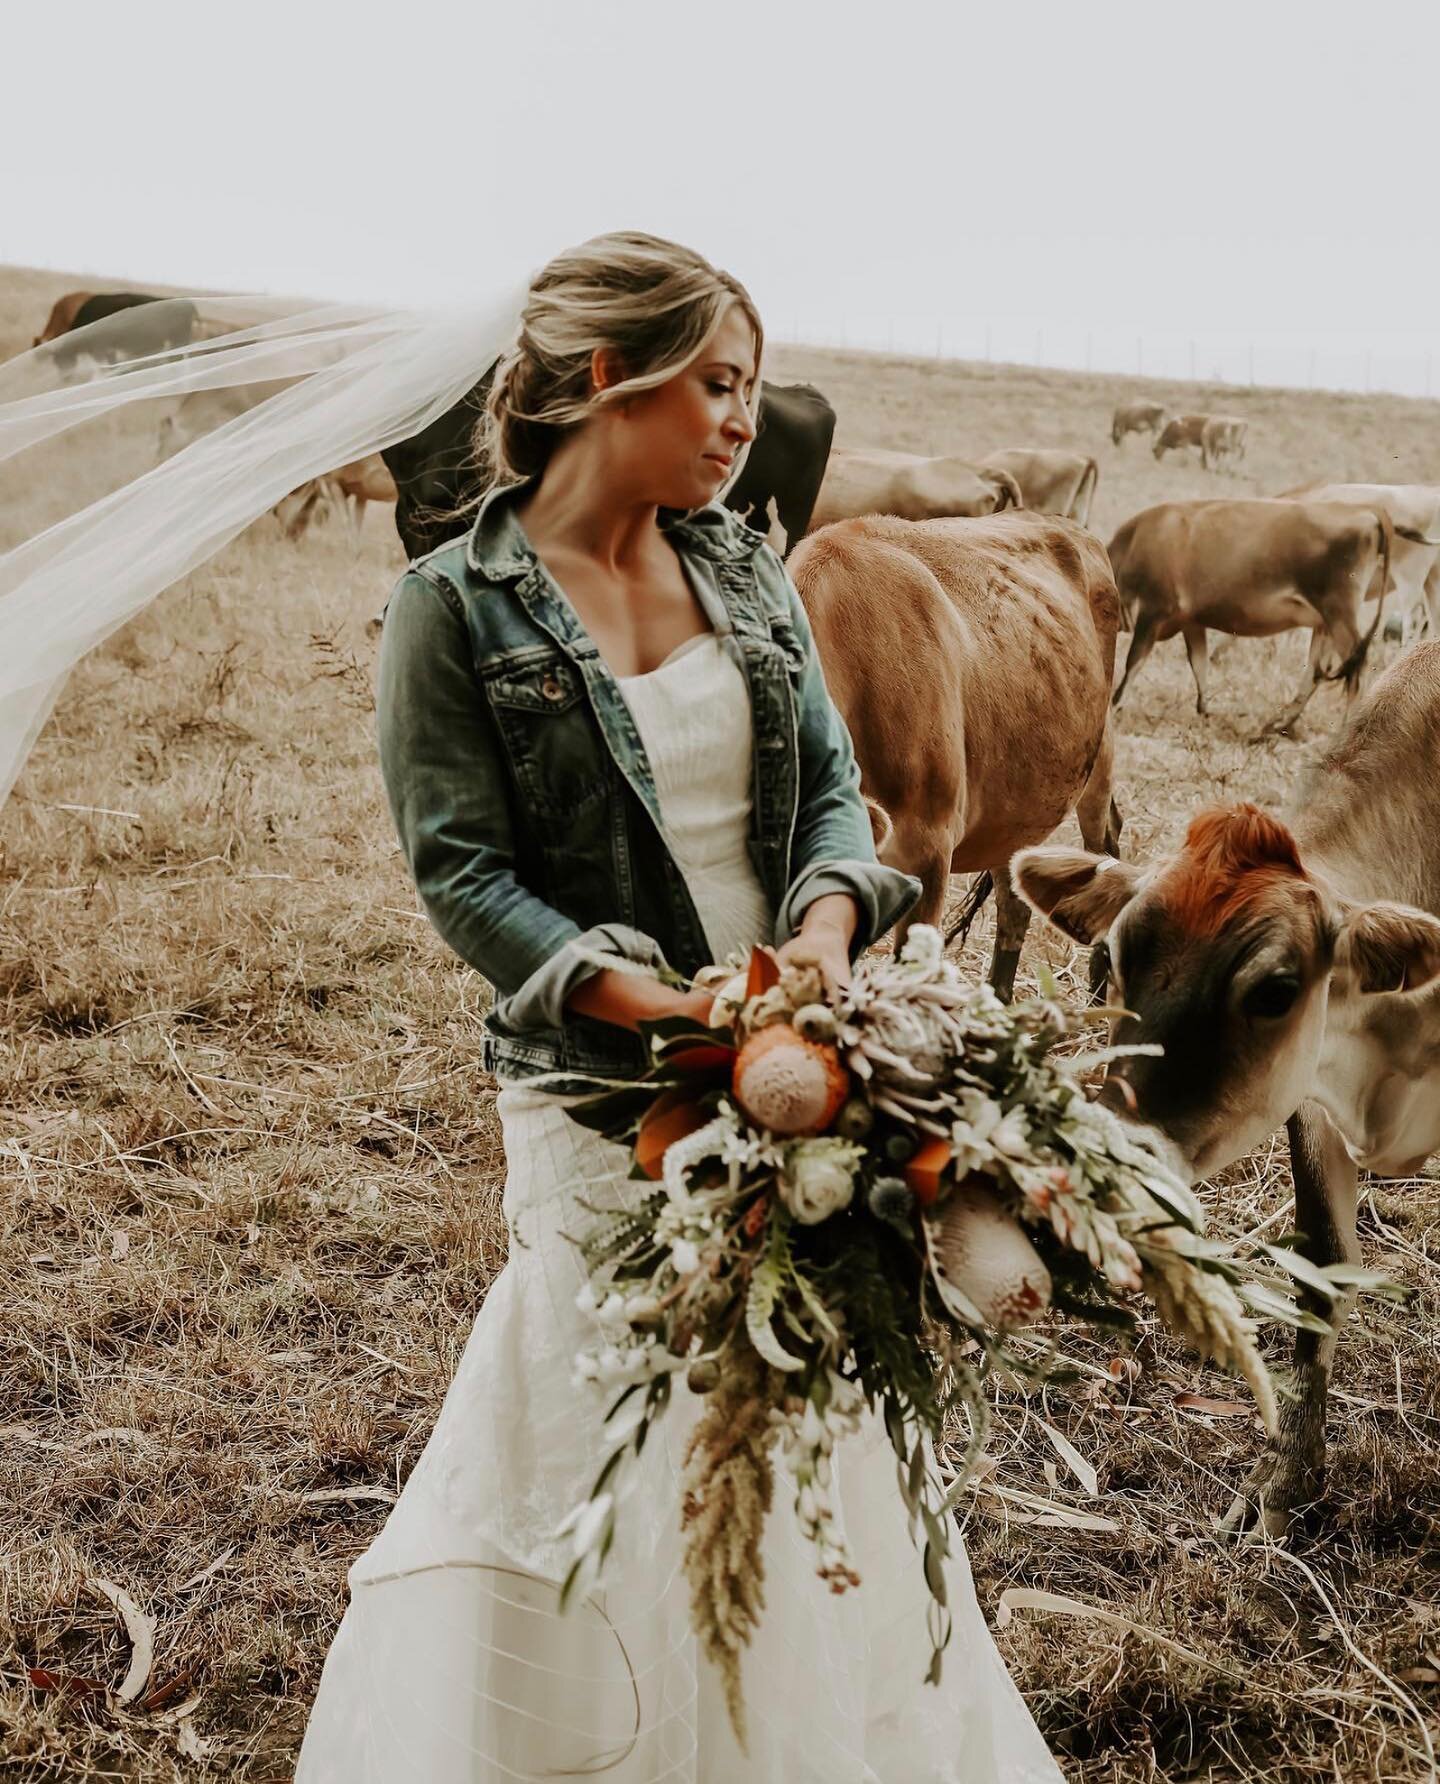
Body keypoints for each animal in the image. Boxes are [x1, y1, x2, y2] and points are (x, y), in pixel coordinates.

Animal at [1106, 495, 1398, 731]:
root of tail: (1366, 510)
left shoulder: (1153, 611)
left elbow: (1134, 661)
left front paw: (1114, 704)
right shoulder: (1191, 621)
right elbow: (1199, 665)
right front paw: (1204, 712)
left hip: (1339, 614)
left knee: (1356, 674)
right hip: (1324, 621)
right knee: (1316, 673)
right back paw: (1277, 726)